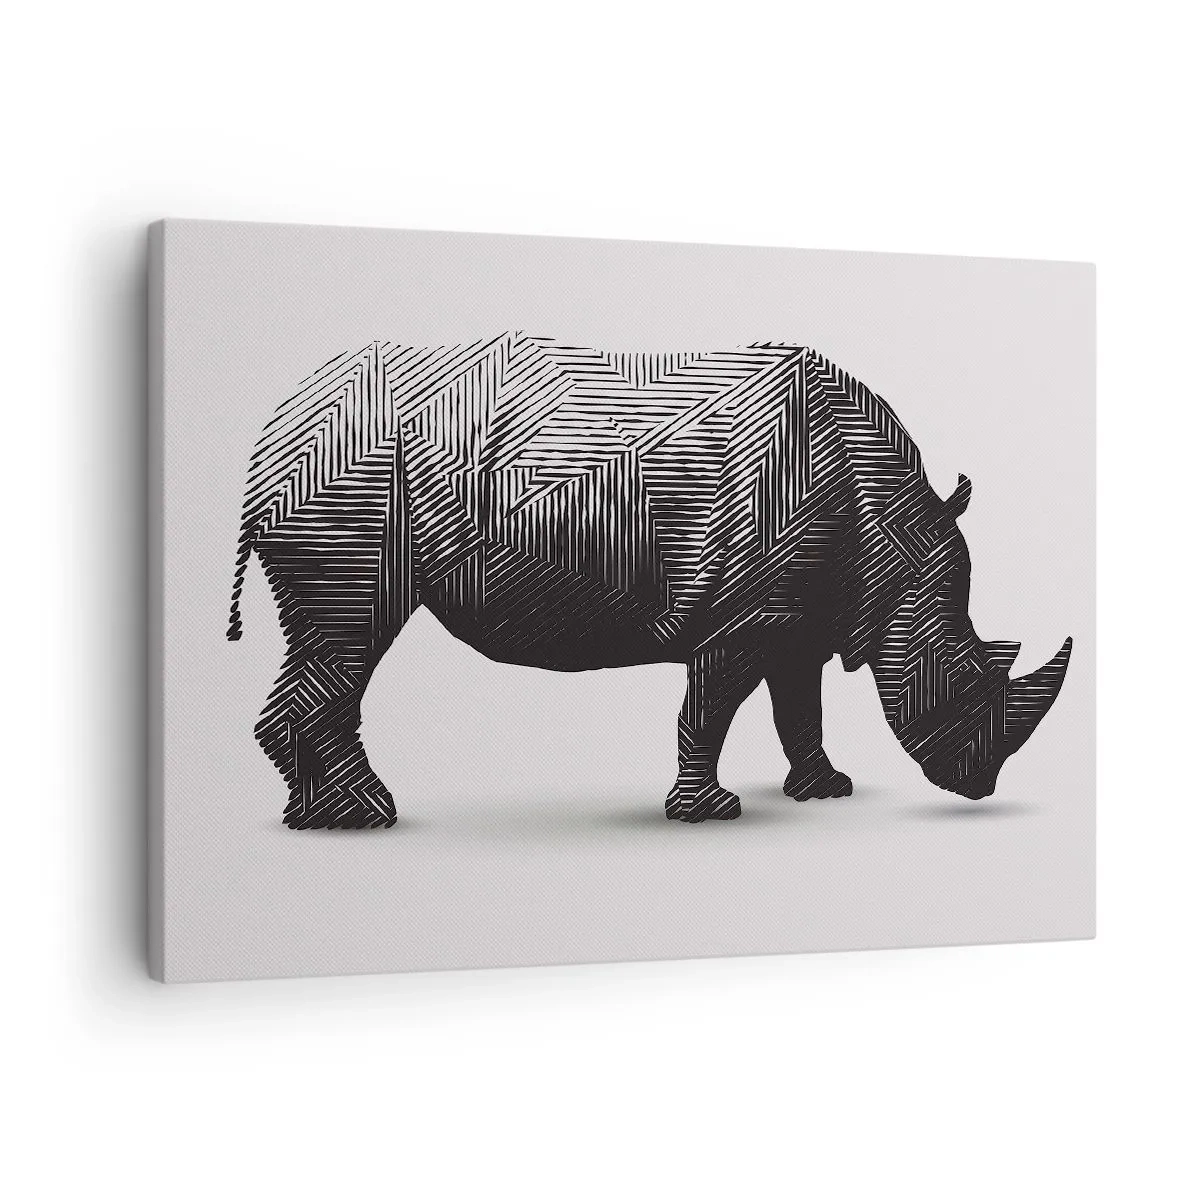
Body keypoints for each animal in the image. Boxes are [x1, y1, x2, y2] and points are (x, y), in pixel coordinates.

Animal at [228, 334, 1071, 828]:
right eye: (965, 679)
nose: (979, 787)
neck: (897, 548)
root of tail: (278, 418)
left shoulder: (798, 614)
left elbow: (800, 706)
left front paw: (827, 790)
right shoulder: (743, 618)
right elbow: (711, 709)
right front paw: (709, 813)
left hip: (343, 473)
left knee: (326, 643)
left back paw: (312, 818)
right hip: (354, 481)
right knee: (350, 634)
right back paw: (368, 816)